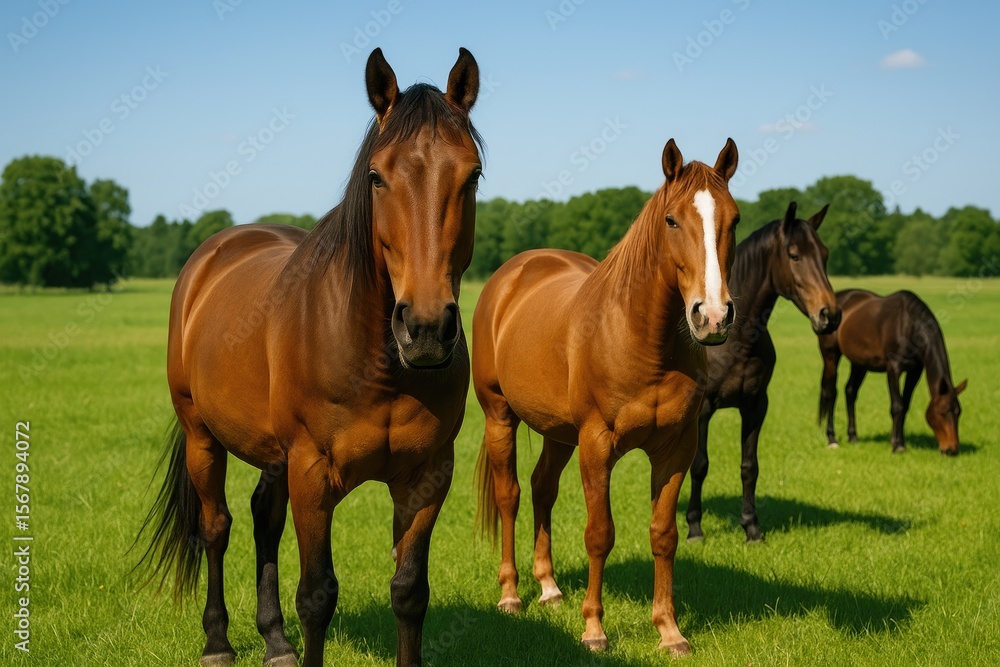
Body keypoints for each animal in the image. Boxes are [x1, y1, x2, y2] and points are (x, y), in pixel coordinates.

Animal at [134, 48, 483, 667]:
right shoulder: (313, 474)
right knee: (216, 526)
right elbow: (318, 594)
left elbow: (410, 592)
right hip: (203, 435)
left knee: (263, 521)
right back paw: (218, 641)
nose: (424, 329)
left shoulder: (427, 476)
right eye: (376, 175)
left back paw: (274, 641)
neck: (378, 364)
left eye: (472, 175)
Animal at [473, 138, 740, 655]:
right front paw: (594, 629)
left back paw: (549, 587)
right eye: (671, 220)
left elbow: (664, 534)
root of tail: (513, 273)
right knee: (510, 494)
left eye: (734, 219)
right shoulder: (597, 446)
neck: (642, 339)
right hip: (500, 416)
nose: (713, 316)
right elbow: (600, 535)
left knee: (542, 488)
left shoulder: (675, 449)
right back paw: (511, 595)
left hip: (558, 433)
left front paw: (669, 631)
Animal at [684, 202, 840, 543]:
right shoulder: (703, 410)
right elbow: (699, 465)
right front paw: (694, 528)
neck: (738, 340)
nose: (830, 315)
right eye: (794, 255)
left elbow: (749, 466)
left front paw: (752, 528)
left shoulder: (756, 406)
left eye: (825, 255)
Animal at [818, 289, 967, 454]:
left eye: (958, 412)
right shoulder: (894, 369)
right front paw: (897, 445)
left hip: (859, 363)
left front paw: (900, 441)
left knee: (850, 391)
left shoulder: (915, 371)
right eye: (941, 412)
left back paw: (853, 436)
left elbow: (905, 405)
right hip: (831, 355)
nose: (952, 449)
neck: (908, 324)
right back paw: (832, 439)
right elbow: (897, 406)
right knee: (830, 392)